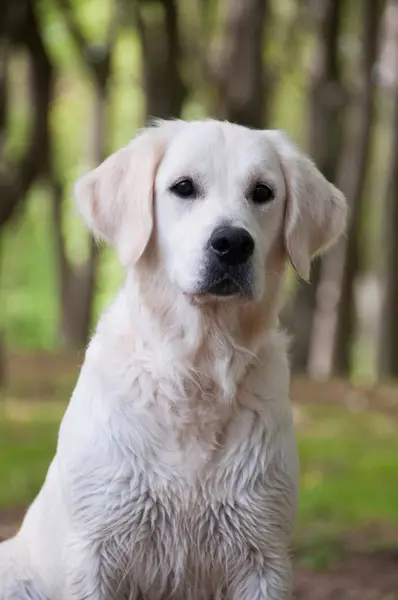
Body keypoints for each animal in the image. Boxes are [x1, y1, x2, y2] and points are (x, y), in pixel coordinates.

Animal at [0, 119, 346, 596]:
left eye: (263, 192)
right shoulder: (93, 550)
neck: (197, 370)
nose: (232, 243)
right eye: (183, 187)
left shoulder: (262, 554)